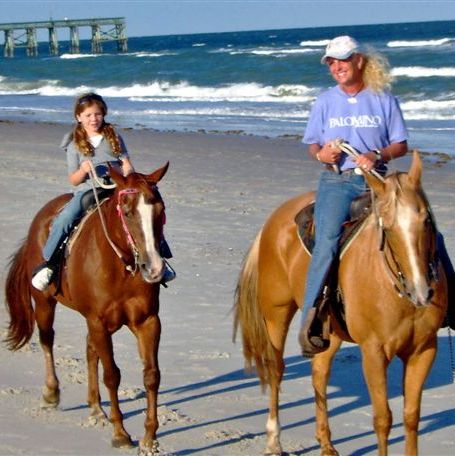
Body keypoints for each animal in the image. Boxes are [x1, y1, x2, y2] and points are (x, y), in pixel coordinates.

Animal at [3, 162, 171, 454]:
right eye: (128, 212)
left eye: (160, 210)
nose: (154, 268)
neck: (121, 267)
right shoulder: (99, 321)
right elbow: (112, 374)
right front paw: (121, 434)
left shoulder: (148, 321)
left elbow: (151, 375)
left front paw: (150, 437)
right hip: (45, 302)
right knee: (47, 339)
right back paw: (51, 392)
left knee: (90, 349)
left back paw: (95, 407)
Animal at [235, 151, 448, 454]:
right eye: (387, 227)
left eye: (426, 221)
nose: (422, 292)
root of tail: (273, 220)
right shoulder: (373, 352)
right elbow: (383, 419)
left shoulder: (424, 350)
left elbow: (411, 417)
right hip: (276, 313)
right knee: (275, 369)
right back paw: (274, 440)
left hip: (328, 330)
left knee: (319, 373)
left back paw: (325, 443)